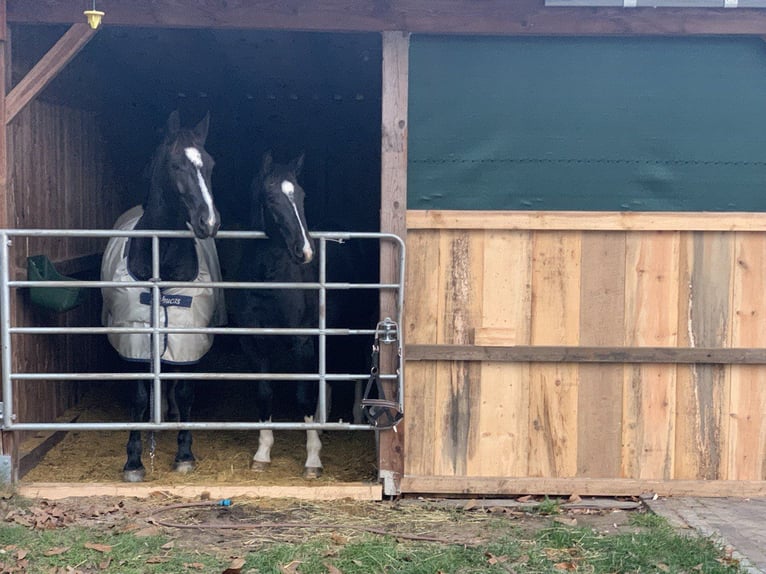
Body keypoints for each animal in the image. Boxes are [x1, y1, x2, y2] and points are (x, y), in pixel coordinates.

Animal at [100, 110, 224, 484]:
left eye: (210, 164)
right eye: (175, 164)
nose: (209, 222)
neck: (161, 257)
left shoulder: (188, 335)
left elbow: (184, 392)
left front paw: (184, 454)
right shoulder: (136, 336)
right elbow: (139, 397)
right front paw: (133, 461)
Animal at [231, 153, 320, 482]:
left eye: (303, 196)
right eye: (271, 198)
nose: (305, 251)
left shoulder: (302, 341)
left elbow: (304, 396)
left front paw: (313, 460)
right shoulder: (254, 342)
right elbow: (264, 393)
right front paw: (263, 453)